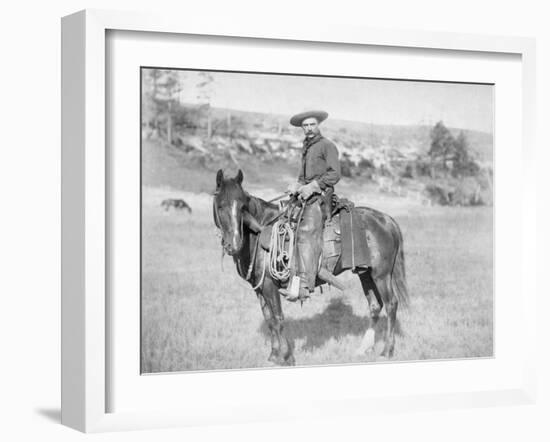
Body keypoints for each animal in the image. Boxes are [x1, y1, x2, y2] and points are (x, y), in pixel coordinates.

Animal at [215, 169, 410, 366]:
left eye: (242, 207)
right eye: (220, 206)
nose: (234, 244)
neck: (260, 232)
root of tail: (386, 220)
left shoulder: (270, 285)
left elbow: (278, 319)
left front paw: (286, 357)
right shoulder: (260, 288)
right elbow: (269, 320)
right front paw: (273, 355)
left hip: (381, 275)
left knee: (391, 304)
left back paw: (387, 351)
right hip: (365, 273)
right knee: (375, 305)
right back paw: (363, 348)